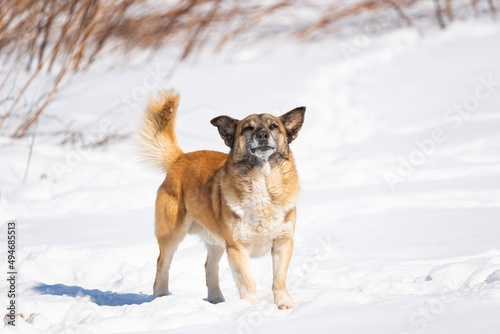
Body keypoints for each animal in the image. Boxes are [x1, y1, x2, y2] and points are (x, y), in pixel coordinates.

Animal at [139, 89, 306, 310]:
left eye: (273, 126)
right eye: (247, 128)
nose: (262, 135)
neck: (262, 181)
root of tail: (179, 159)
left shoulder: (283, 242)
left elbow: (279, 279)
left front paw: (285, 306)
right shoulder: (237, 248)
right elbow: (247, 281)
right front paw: (250, 307)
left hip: (216, 241)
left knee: (209, 266)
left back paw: (217, 300)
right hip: (171, 235)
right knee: (162, 265)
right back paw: (161, 298)